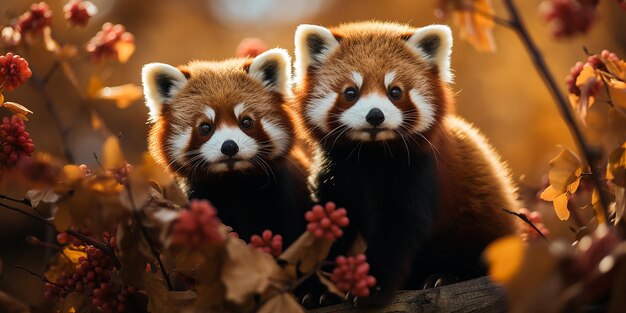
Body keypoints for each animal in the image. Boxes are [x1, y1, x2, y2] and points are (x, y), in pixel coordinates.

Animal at [292, 22, 516, 308]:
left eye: (395, 92)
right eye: (350, 92)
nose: (375, 115)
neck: (369, 156)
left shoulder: (416, 173)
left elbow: (397, 231)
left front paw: (370, 288)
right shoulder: (335, 174)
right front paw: (318, 290)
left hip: (480, 223)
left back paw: (445, 276)